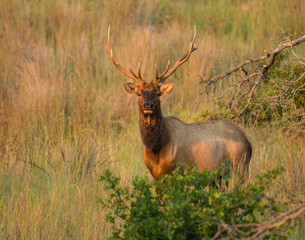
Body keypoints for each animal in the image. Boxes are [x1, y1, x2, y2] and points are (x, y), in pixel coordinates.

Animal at [107, 26, 252, 180]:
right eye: (139, 93)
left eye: (158, 94)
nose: (148, 105)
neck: (156, 149)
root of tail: (248, 140)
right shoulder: (156, 176)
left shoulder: (179, 171)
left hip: (240, 165)